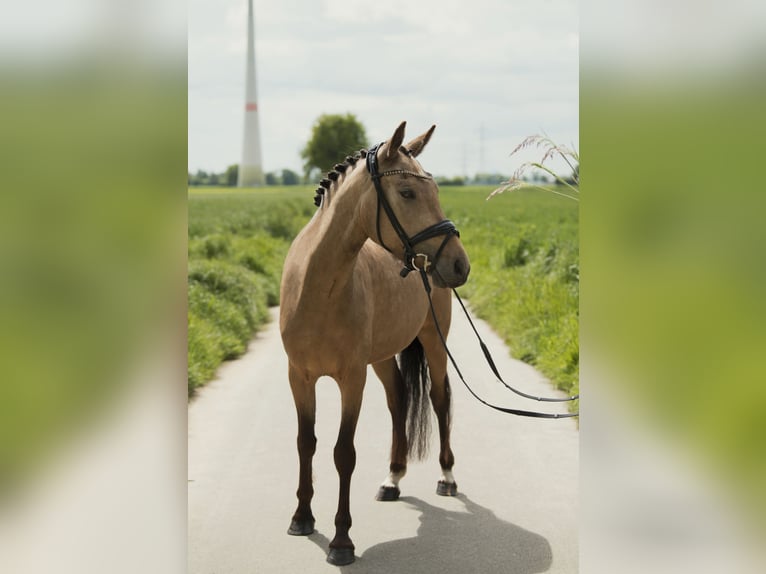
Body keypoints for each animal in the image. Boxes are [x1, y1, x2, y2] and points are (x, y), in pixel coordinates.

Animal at [279, 121, 470, 565]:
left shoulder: (352, 379)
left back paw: (447, 476)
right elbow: (305, 443)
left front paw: (341, 541)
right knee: (399, 399)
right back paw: (392, 479)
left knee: (439, 399)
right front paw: (301, 518)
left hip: (434, 341)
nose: (460, 264)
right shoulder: (300, 377)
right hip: (382, 357)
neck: (318, 287)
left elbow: (343, 453)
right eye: (407, 192)